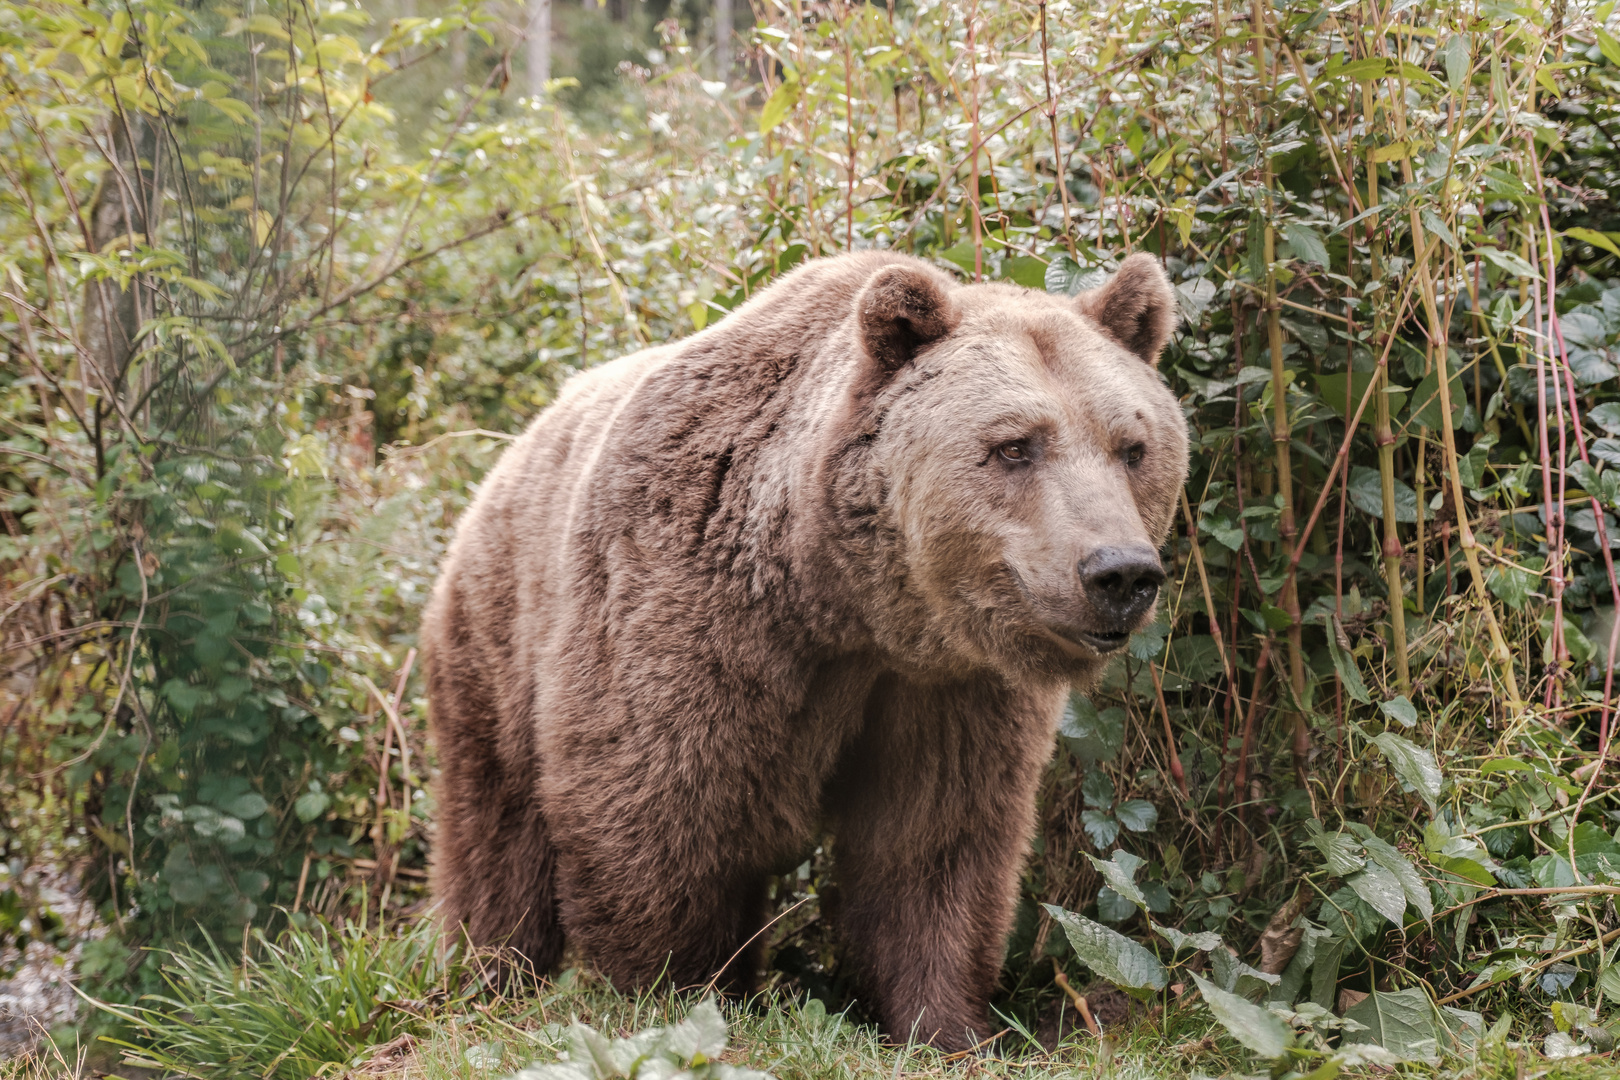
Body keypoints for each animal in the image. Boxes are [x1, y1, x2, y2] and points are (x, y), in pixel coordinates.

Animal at [421, 250, 1192, 1049]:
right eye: (1014, 445)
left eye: (1133, 448)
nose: (1120, 572)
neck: (846, 605)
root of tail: (516, 443)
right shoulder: (692, 609)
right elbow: (655, 805)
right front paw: (675, 993)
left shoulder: (948, 690)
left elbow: (934, 842)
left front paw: (948, 1024)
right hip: (498, 627)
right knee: (496, 828)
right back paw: (488, 974)